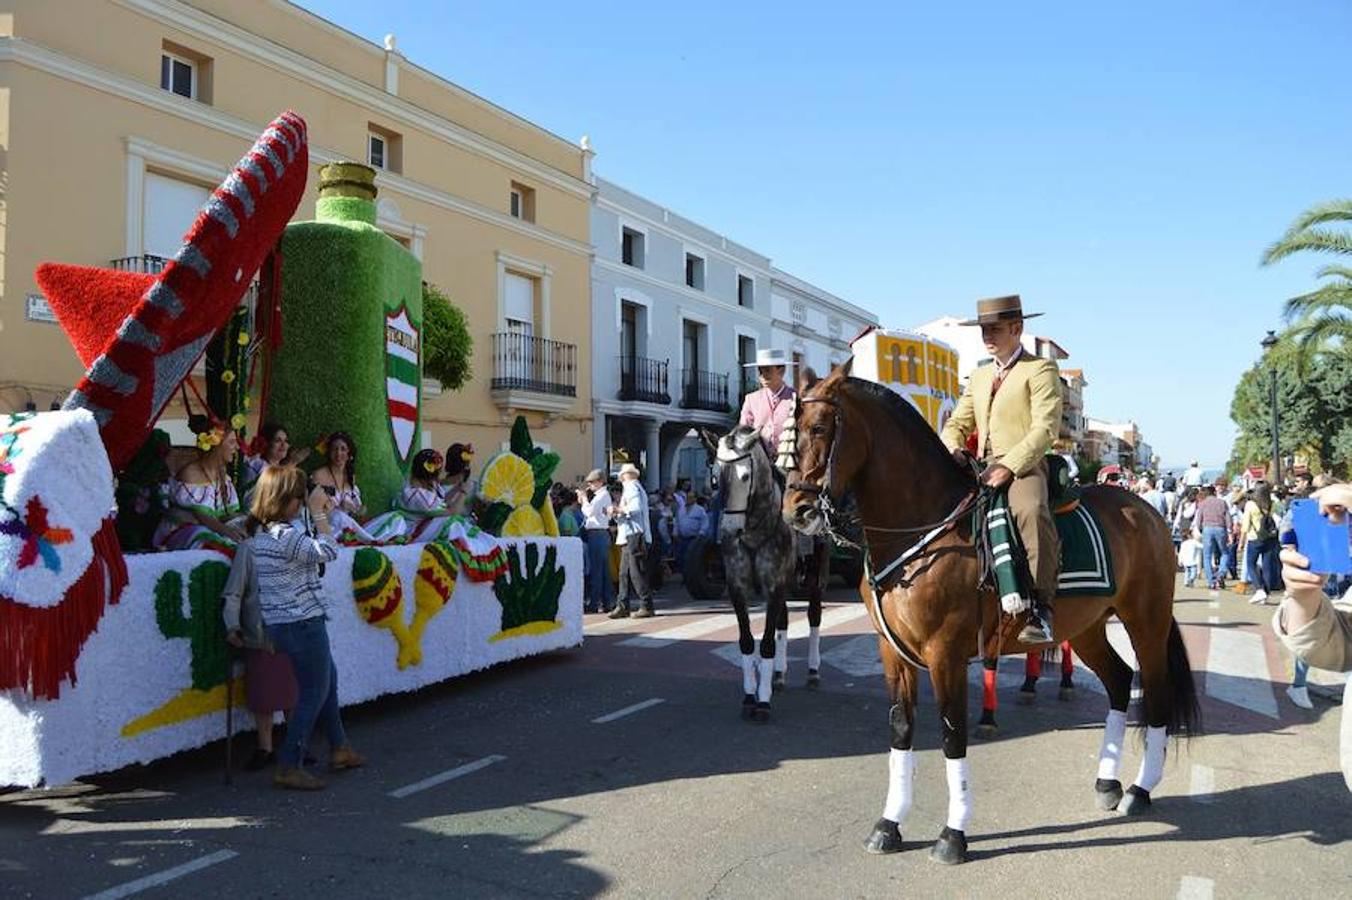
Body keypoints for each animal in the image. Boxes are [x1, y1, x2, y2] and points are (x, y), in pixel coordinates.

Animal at [708, 424, 800, 718]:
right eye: (715, 478)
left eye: (746, 476)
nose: (728, 529)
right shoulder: (737, 587)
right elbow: (747, 640)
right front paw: (750, 695)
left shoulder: (774, 586)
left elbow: (767, 642)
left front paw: (763, 701)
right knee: (783, 621)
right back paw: (779, 676)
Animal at [784, 362, 1205, 864]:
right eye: (788, 431)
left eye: (819, 428)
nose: (797, 510)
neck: (923, 531)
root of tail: (1146, 512)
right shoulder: (893, 651)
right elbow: (902, 730)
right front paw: (889, 824)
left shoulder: (944, 653)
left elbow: (952, 734)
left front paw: (953, 834)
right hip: (1086, 629)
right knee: (1121, 682)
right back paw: (1107, 783)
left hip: (1146, 622)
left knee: (1155, 693)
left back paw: (1139, 791)